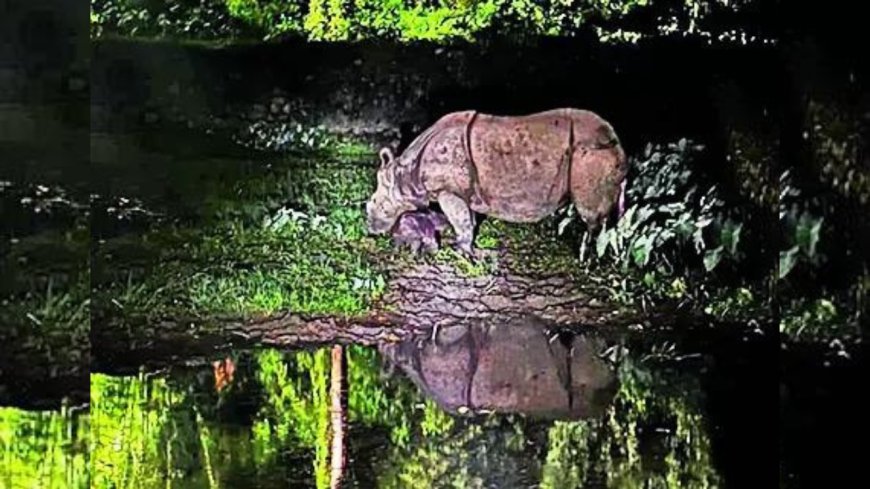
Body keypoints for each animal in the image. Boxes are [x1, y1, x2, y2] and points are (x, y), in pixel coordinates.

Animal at [365, 108, 628, 256]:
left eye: (377, 204)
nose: (371, 229)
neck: (405, 174)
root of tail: (619, 144)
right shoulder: (463, 192)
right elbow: (468, 220)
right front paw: (467, 249)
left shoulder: (447, 190)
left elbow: (460, 220)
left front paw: (458, 252)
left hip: (590, 154)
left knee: (592, 216)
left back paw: (589, 259)